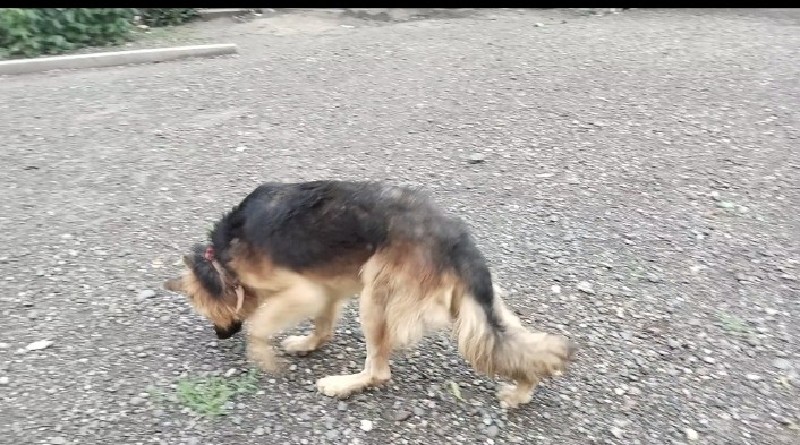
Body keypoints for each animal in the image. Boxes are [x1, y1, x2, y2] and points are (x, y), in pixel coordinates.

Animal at [163, 180, 575, 408]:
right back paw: (523, 391)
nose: (220, 336)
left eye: (203, 310)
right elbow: (323, 325)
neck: (219, 260)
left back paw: (342, 384)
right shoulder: (325, 289)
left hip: (377, 295)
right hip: (478, 307)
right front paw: (308, 344)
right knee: (517, 346)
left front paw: (263, 357)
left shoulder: (304, 290)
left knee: (379, 371)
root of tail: (455, 241)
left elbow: (260, 325)